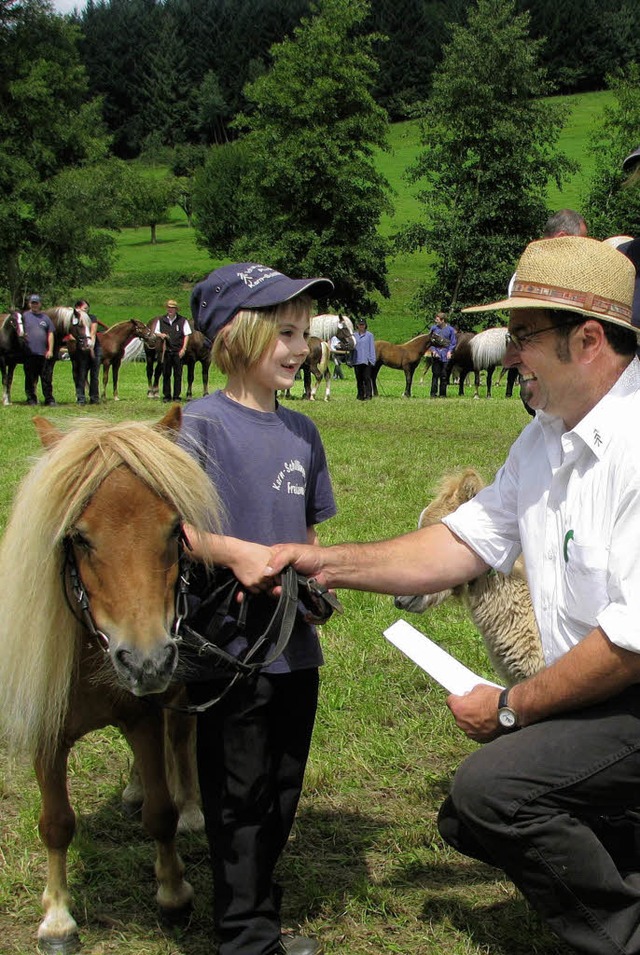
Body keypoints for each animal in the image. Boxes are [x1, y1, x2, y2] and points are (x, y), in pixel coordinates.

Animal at [0, 408, 220, 955]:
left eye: (175, 528)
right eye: (78, 536)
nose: (146, 661)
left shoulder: (144, 715)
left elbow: (161, 814)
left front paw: (173, 894)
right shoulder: (48, 732)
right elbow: (56, 824)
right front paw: (57, 918)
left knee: (179, 740)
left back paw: (192, 809)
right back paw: (134, 788)